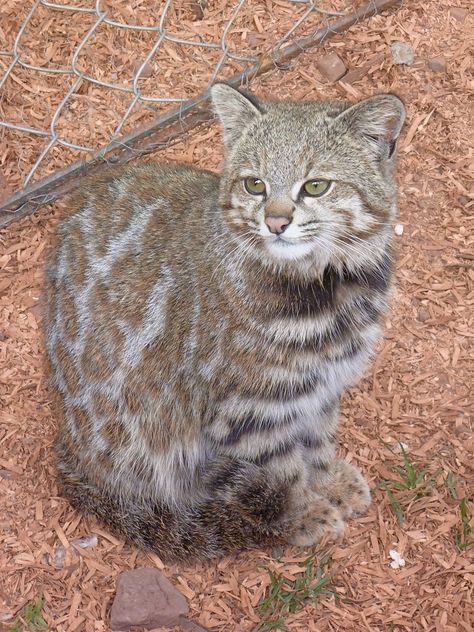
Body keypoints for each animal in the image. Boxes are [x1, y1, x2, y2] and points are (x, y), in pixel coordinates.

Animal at [44, 82, 406, 556]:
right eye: (255, 184)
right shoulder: (249, 411)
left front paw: (328, 480)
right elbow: (284, 472)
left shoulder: (320, 384)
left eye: (316, 186)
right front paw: (302, 513)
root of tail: (70, 456)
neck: (327, 287)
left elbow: (318, 438)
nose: (275, 222)